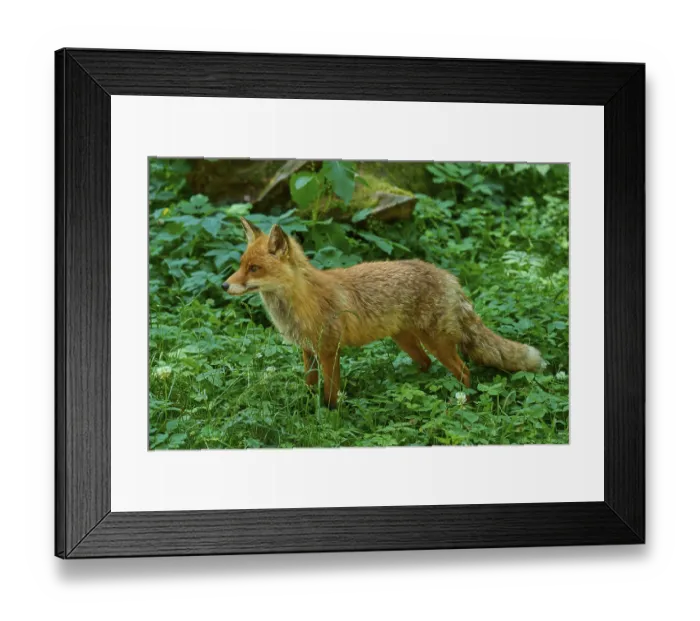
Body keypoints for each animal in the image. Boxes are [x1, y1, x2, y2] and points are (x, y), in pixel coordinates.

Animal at [222, 217, 545, 409]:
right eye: (240, 265)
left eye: (254, 268)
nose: (225, 285)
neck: (302, 301)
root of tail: (448, 277)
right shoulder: (308, 350)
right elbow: (311, 386)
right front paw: (308, 407)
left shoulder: (329, 351)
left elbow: (331, 393)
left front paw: (330, 418)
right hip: (406, 340)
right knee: (427, 364)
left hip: (438, 343)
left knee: (464, 372)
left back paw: (460, 403)